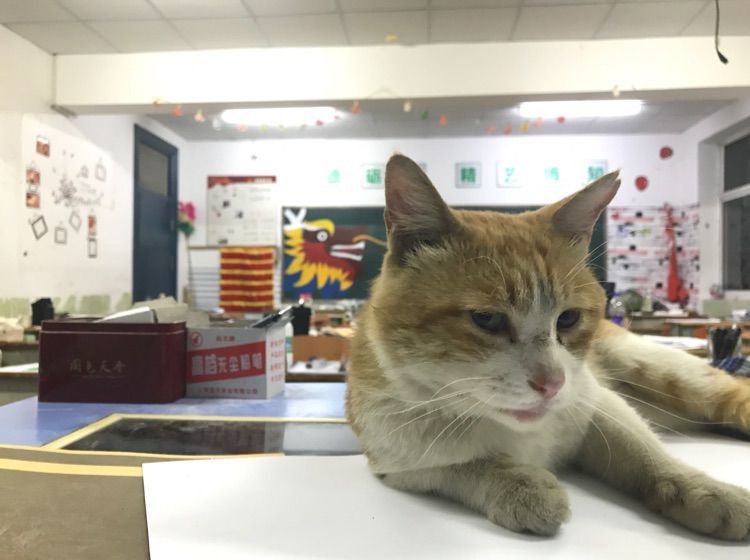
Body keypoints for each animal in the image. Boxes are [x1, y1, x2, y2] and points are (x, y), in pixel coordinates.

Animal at [346, 154, 750, 540]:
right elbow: (459, 466)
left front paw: (704, 489)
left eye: (568, 319)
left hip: (663, 369)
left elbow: (644, 451)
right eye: (486, 319)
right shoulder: (398, 465)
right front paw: (520, 485)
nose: (551, 384)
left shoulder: (598, 403)